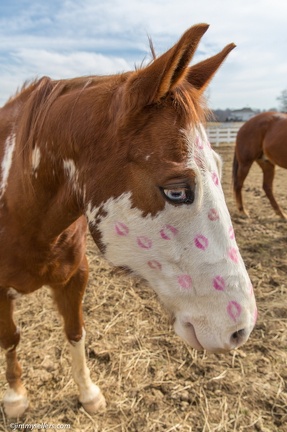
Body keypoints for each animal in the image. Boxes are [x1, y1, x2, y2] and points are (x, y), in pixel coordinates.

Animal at [0, 24, 256, 418]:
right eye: (176, 191)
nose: (240, 329)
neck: (23, 207)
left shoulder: (75, 278)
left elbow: (75, 331)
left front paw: (88, 393)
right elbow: (11, 338)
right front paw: (15, 398)